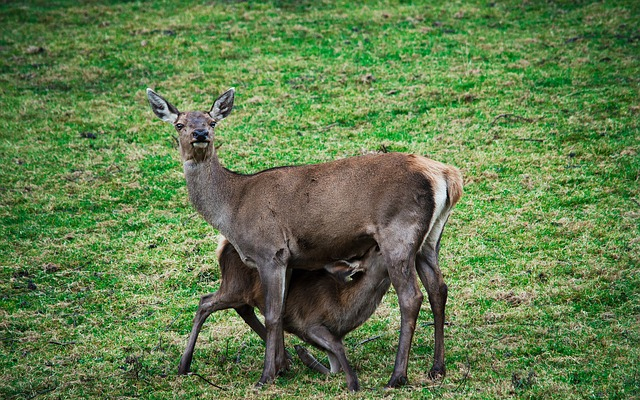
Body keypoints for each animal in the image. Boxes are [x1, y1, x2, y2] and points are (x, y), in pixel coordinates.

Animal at [181, 238, 390, 390]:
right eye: (377, 248)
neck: (342, 311)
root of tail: (221, 246)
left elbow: (334, 368)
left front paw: (304, 355)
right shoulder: (310, 323)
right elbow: (337, 346)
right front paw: (353, 383)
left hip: (240, 290)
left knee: (244, 309)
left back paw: (285, 357)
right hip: (234, 284)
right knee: (205, 302)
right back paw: (184, 365)